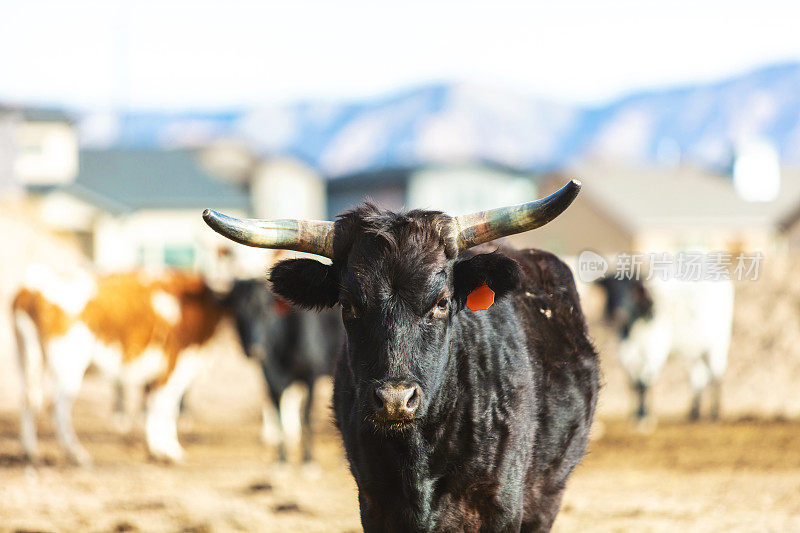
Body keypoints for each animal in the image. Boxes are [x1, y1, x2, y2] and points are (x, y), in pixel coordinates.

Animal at [12, 264, 225, 464]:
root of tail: (30, 287)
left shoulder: (158, 373)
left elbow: (155, 407)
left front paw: (156, 448)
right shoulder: (174, 366)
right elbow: (165, 407)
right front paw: (169, 450)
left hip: (27, 356)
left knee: (28, 399)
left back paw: (30, 452)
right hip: (69, 366)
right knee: (56, 409)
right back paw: (77, 454)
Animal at [223, 278, 342, 462]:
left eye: (266, 311)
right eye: (238, 313)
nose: (254, 349)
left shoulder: (310, 375)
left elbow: (307, 417)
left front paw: (308, 460)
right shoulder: (271, 378)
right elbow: (278, 416)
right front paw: (282, 459)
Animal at [596, 274, 736, 420]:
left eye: (633, 291)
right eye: (610, 290)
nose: (619, 313)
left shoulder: (656, 349)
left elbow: (644, 382)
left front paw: (644, 414)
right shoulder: (626, 353)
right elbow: (633, 384)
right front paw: (635, 413)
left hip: (718, 344)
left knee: (716, 375)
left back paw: (715, 413)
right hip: (694, 351)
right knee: (699, 375)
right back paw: (694, 413)